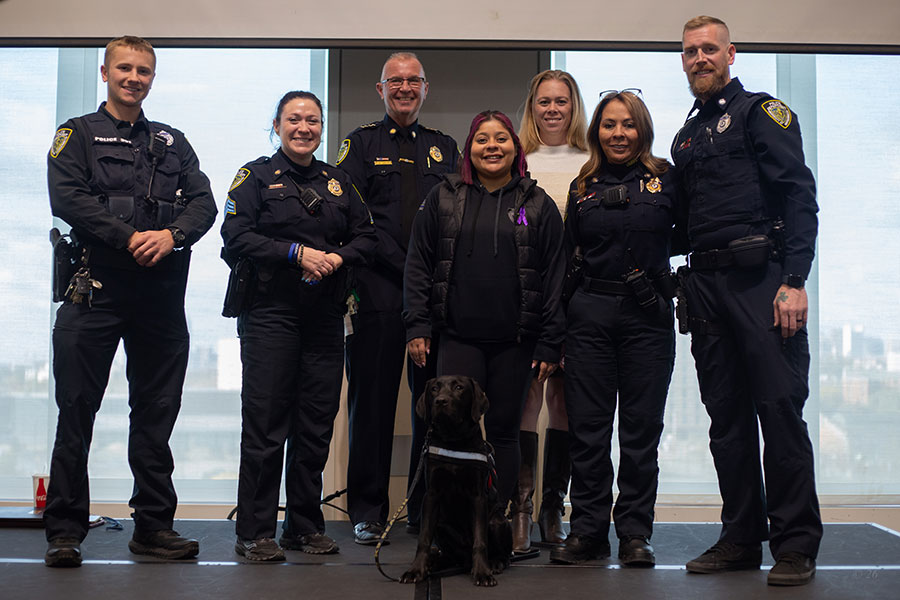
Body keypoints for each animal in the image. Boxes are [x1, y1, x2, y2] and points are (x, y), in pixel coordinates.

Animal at [400, 376, 510, 584]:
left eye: (459, 387)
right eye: (434, 389)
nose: (440, 401)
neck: (454, 440)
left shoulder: (478, 497)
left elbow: (480, 540)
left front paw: (482, 572)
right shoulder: (431, 495)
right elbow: (423, 538)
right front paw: (416, 570)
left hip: (498, 521)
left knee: (503, 554)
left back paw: (495, 563)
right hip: (441, 525)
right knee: (450, 555)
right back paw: (435, 562)